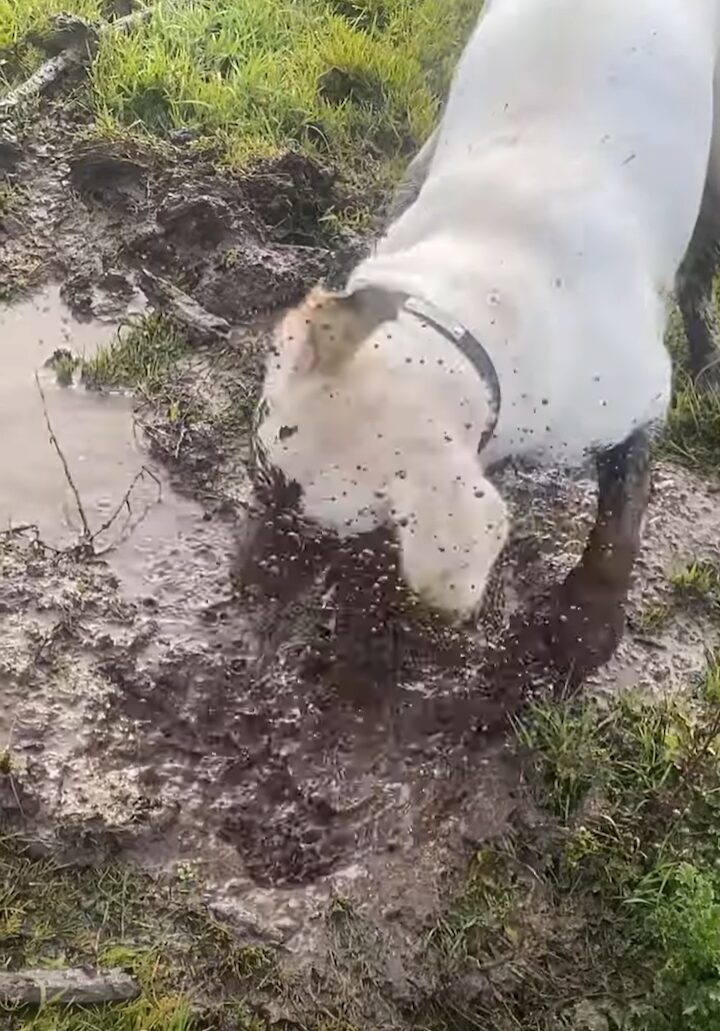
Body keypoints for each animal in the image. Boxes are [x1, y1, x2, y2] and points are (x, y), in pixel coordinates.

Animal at [254, 0, 717, 630]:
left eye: (322, 533)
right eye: (260, 467)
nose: (248, 582)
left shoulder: (642, 401)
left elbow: (620, 523)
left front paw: (586, 620)